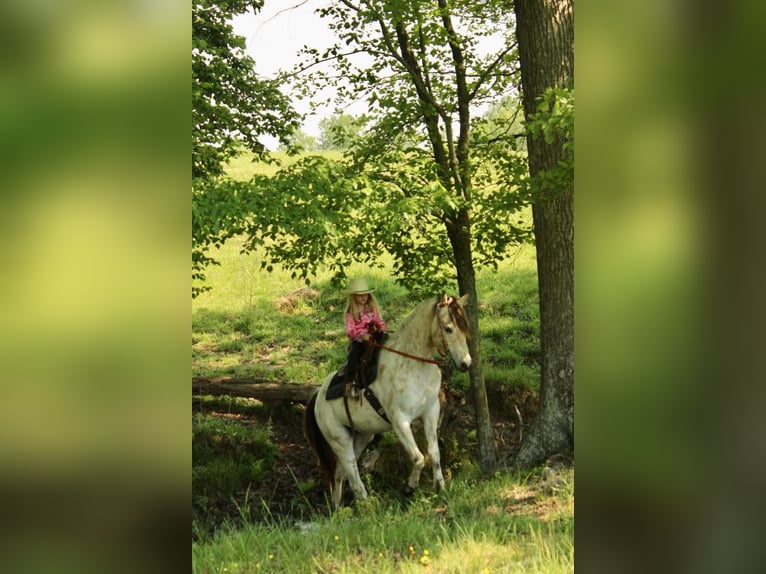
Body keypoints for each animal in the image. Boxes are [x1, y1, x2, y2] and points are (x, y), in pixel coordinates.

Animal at [304, 294, 472, 510]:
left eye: (464, 327)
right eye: (449, 328)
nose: (466, 363)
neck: (413, 364)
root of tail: (317, 396)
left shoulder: (431, 411)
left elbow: (434, 453)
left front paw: (439, 486)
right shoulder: (400, 421)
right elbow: (418, 458)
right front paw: (409, 487)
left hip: (361, 437)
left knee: (339, 474)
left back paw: (338, 509)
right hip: (339, 441)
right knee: (353, 475)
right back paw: (368, 506)